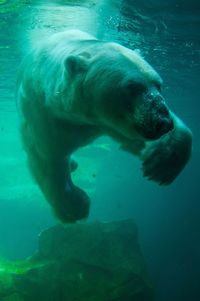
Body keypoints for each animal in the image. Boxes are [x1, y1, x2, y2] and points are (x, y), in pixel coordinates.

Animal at [16, 30, 192, 221]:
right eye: (132, 86)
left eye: (159, 85)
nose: (163, 123)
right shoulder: (47, 116)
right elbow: (47, 157)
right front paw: (75, 206)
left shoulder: (110, 123)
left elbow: (135, 141)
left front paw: (161, 165)